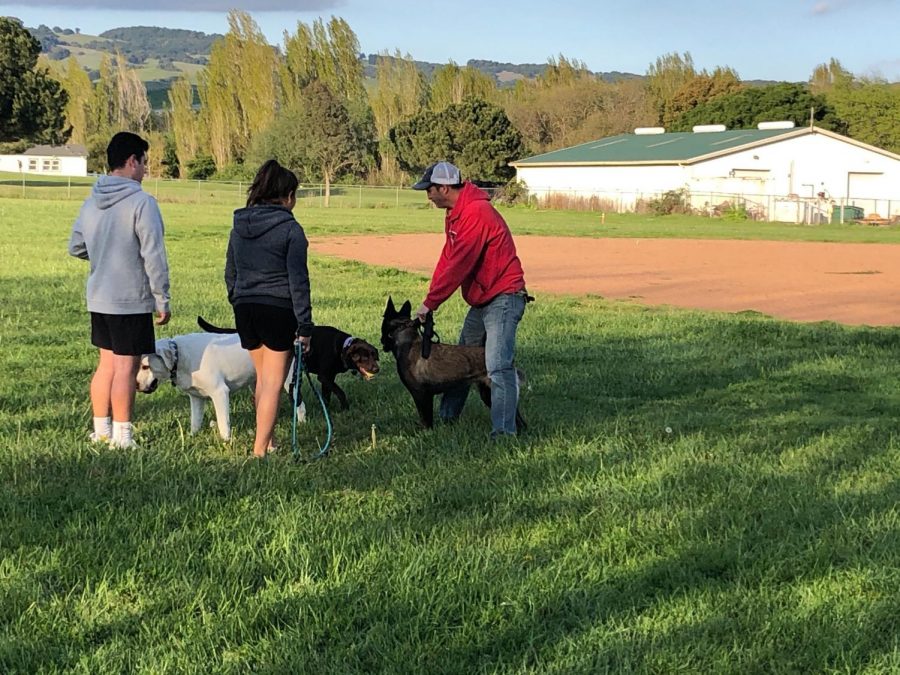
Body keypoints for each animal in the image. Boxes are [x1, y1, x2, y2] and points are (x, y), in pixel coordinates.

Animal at [197, 316, 380, 412]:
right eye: (363, 357)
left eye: (374, 355)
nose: (377, 369)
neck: (342, 346)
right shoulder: (324, 377)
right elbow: (340, 392)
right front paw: (345, 407)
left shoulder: (328, 378)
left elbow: (327, 395)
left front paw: (328, 409)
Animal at [380, 298, 528, 430]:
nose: (381, 341)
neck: (407, 342)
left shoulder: (421, 395)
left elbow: (425, 419)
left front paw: (425, 433)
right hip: (487, 394)